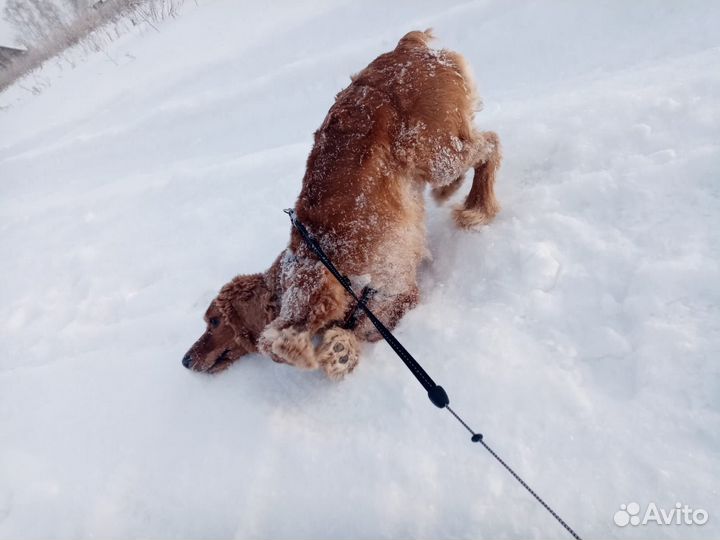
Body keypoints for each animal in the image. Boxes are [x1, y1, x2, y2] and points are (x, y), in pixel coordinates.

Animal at [183, 29, 500, 380]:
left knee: (490, 144)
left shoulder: (321, 284)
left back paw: (477, 207)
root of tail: (407, 46)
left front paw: (332, 351)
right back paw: (450, 191)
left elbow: (277, 343)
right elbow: (360, 328)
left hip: (434, 151)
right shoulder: (391, 295)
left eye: (213, 321)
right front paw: (342, 349)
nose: (185, 359)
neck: (282, 278)